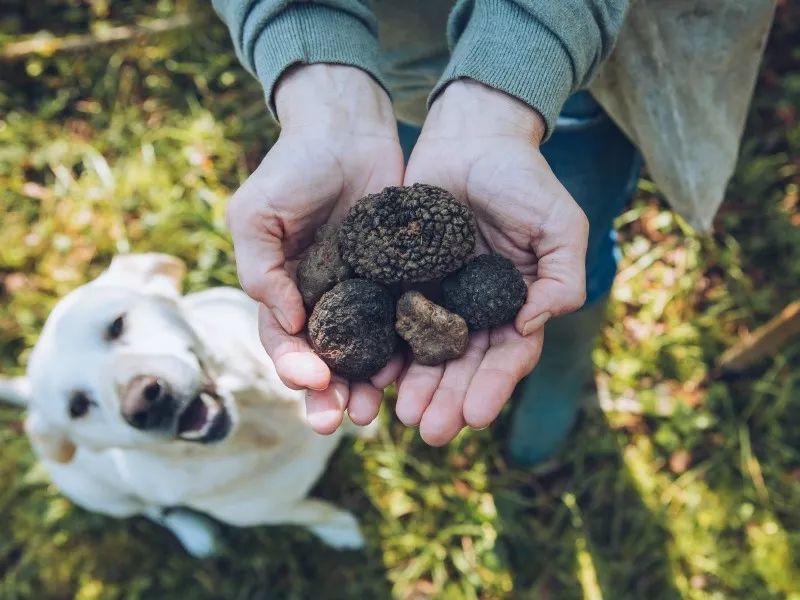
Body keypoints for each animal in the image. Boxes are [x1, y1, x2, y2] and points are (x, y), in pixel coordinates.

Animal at [3, 253, 368, 556]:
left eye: (117, 324)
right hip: (105, 498)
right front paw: (340, 530)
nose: (145, 403)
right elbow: (312, 513)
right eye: (77, 408)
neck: (262, 423)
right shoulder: (270, 512)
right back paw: (194, 533)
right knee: (154, 511)